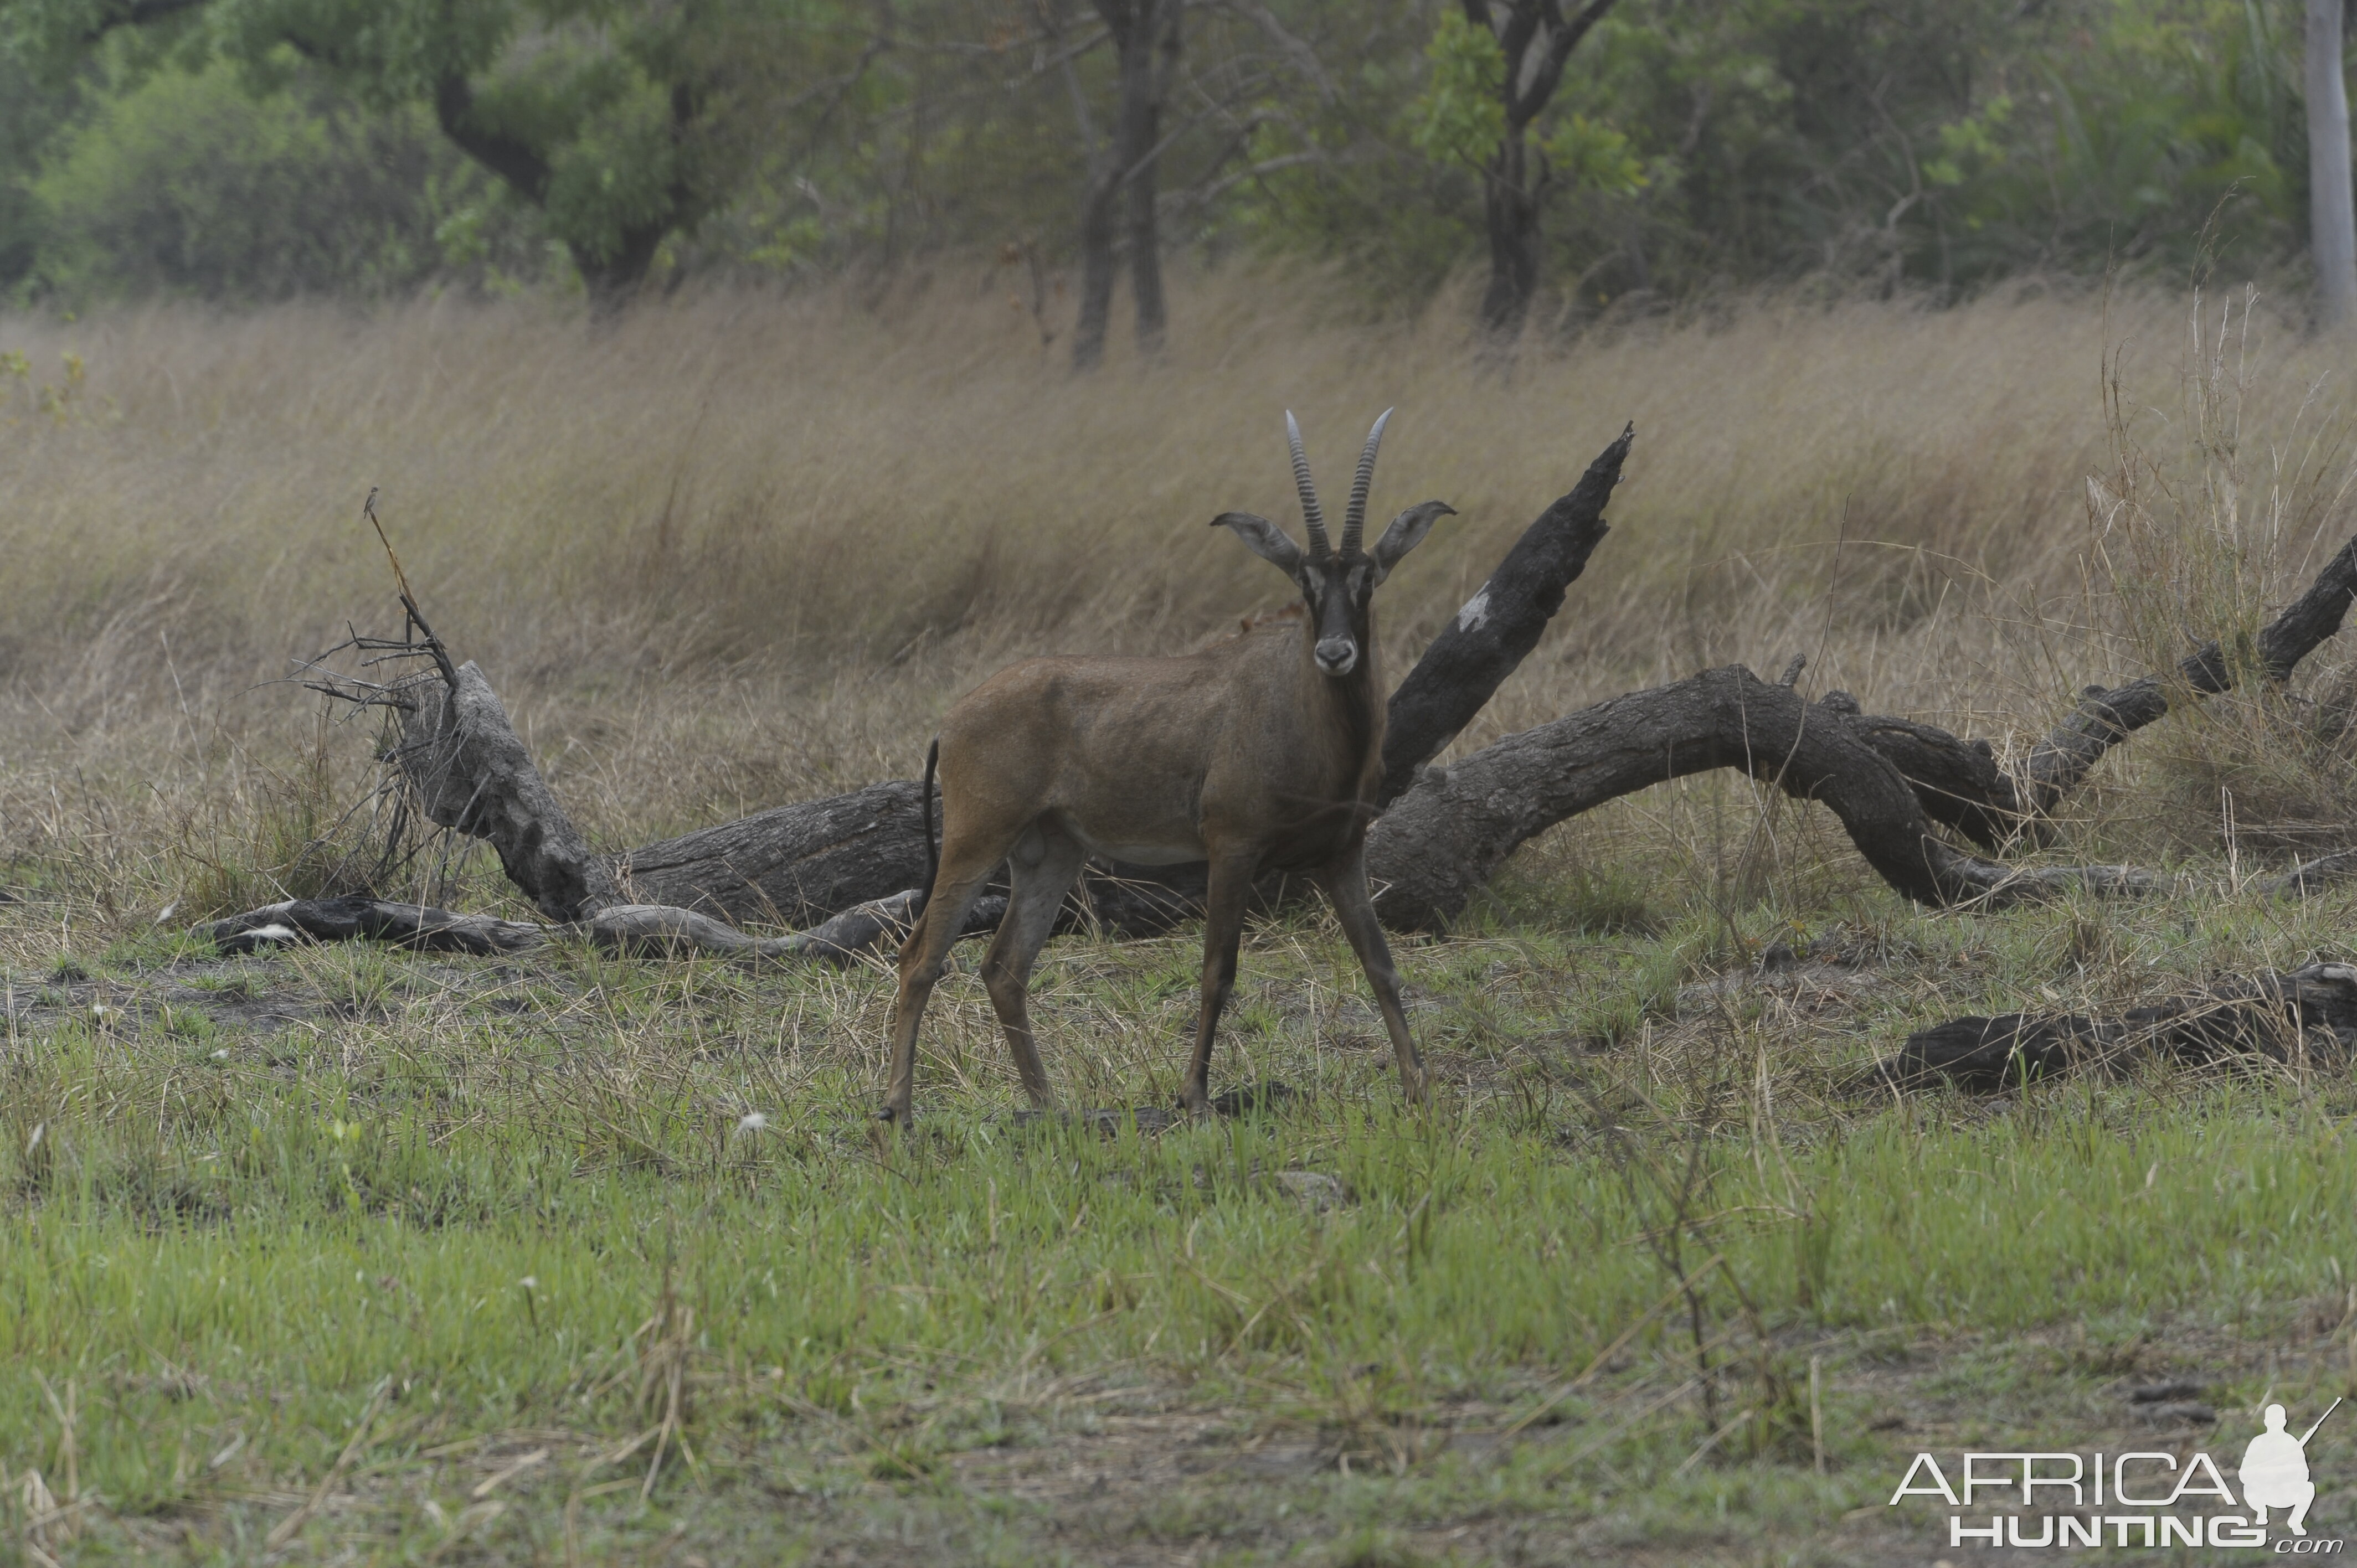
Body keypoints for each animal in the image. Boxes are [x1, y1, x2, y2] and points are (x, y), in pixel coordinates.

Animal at [877, 412, 1442, 1127]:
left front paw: (1419, 1089)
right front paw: (1193, 1096)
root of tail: (951, 719)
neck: (1296, 705)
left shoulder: (1342, 854)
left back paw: (1049, 1106)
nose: (1336, 652)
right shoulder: (1231, 849)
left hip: (1050, 852)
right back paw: (897, 1109)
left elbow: (1380, 963)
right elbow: (1217, 971)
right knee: (921, 955)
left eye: (1369, 579)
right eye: (1304, 581)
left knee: (1004, 965)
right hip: (978, 838)